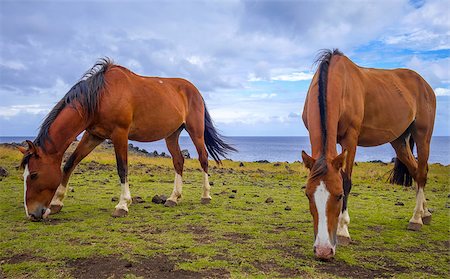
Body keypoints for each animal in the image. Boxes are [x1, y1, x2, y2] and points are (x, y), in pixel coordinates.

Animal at [18, 58, 236, 221]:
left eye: (34, 174)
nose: (32, 213)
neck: (100, 97)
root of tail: (194, 90)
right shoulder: (93, 135)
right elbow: (70, 163)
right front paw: (56, 203)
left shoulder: (120, 134)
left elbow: (122, 168)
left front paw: (123, 205)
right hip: (171, 134)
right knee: (178, 161)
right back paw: (173, 198)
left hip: (195, 131)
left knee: (203, 159)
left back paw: (205, 195)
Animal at [302, 49, 436, 262]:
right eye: (308, 195)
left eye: (339, 196)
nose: (323, 251)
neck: (337, 81)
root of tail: (424, 84)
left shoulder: (350, 138)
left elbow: (346, 181)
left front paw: (343, 231)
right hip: (399, 141)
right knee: (416, 171)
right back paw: (424, 212)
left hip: (423, 135)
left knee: (422, 173)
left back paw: (416, 219)